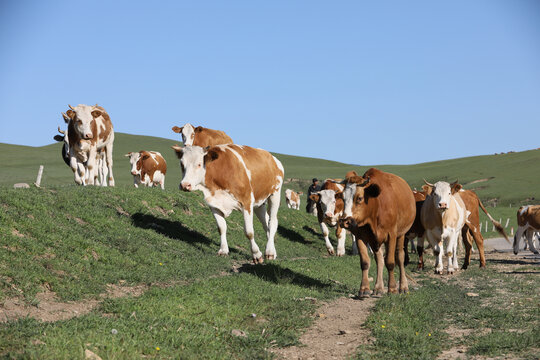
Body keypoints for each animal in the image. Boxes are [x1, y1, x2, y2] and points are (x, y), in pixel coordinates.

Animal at [340, 168, 416, 296]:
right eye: (343, 198)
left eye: (359, 198)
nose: (345, 221)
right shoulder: (361, 236)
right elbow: (365, 262)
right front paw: (364, 288)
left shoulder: (391, 235)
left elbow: (390, 262)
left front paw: (392, 288)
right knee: (379, 259)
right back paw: (379, 287)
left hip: (401, 234)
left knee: (400, 257)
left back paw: (403, 286)